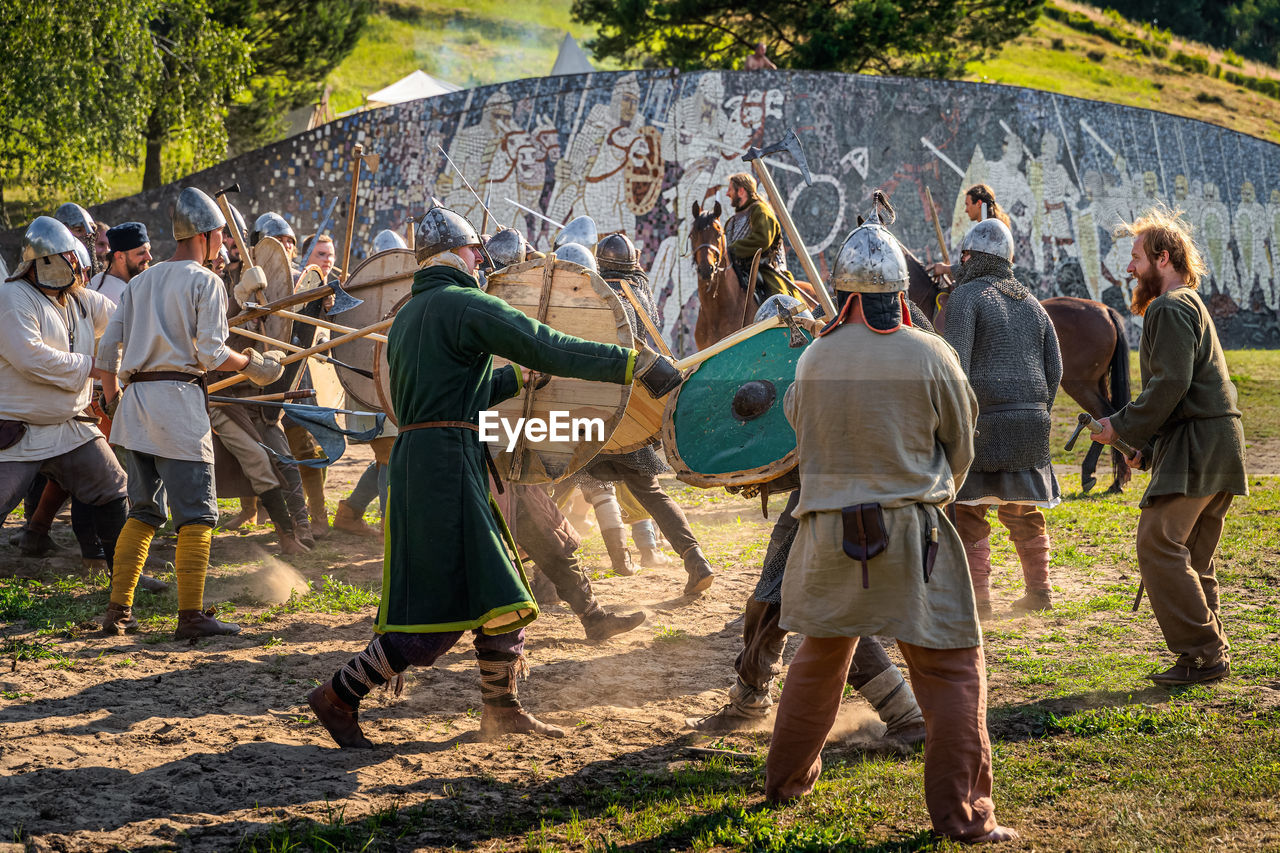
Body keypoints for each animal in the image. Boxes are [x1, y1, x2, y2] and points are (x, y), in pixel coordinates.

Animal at [906, 245, 1136, 494]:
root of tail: (1106, 310)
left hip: (1080, 384)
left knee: (1103, 414)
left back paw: (1096, 475)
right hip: (1095, 382)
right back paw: (1114, 478)